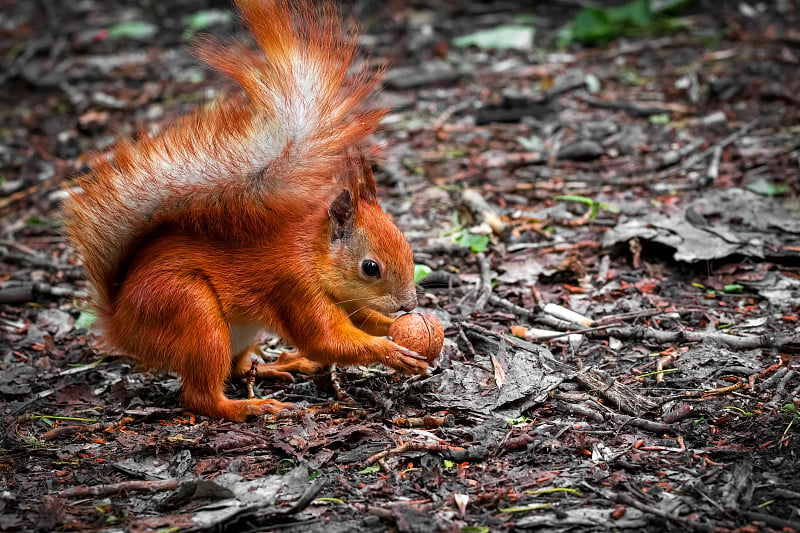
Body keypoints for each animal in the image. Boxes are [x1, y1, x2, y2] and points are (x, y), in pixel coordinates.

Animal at [63, 0, 428, 422]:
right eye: (371, 268)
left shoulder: (345, 298)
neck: (313, 253)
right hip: (191, 312)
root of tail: (121, 323)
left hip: (238, 332)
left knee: (236, 369)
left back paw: (279, 366)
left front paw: (402, 326)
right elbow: (327, 341)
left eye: (409, 248)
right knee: (201, 395)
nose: (408, 305)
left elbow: (362, 320)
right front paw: (391, 350)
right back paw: (249, 406)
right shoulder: (295, 287)